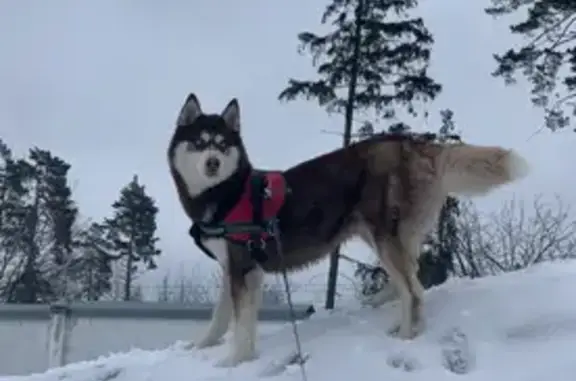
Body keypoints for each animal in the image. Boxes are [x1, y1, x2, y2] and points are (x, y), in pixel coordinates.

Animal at [165, 92, 528, 366]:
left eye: (222, 145)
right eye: (199, 143)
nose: (213, 163)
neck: (227, 193)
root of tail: (413, 142)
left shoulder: (244, 267)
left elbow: (241, 323)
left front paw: (233, 361)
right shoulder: (235, 268)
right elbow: (220, 317)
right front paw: (203, 346)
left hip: (383, 234)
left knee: (413, 290)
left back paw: (407, 336)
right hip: (383, 234)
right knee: (410, 279)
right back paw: (396, 319)